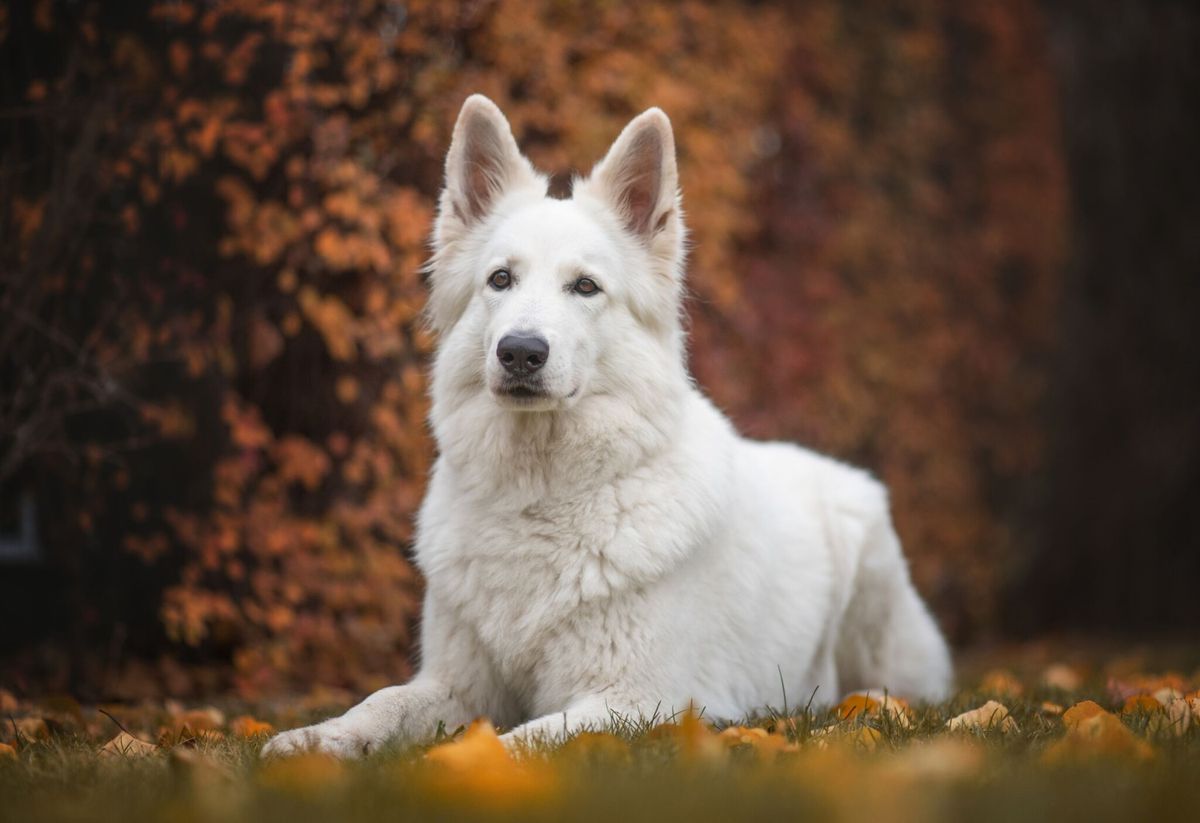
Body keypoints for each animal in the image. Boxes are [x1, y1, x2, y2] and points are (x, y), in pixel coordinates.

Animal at [260, 96, 945, 763]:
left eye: (585, 287)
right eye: (500, 280)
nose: (520, 352)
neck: (538, 497)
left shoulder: (640, 701)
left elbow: (523, 739)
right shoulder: (456, 683)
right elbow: (382, 701)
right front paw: (318, 740)